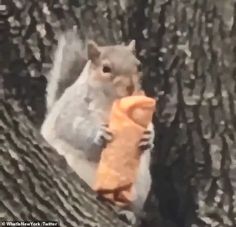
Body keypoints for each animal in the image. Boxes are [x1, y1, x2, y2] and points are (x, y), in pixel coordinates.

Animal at [40, 31, 155, 221]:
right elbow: (70, 126)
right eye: (105, 69)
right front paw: (99, 134)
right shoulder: (72, 106)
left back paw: (128, 213)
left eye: (138, 66)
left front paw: (148, 138)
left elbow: (151, 128)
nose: (131, 87)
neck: (110, 102)